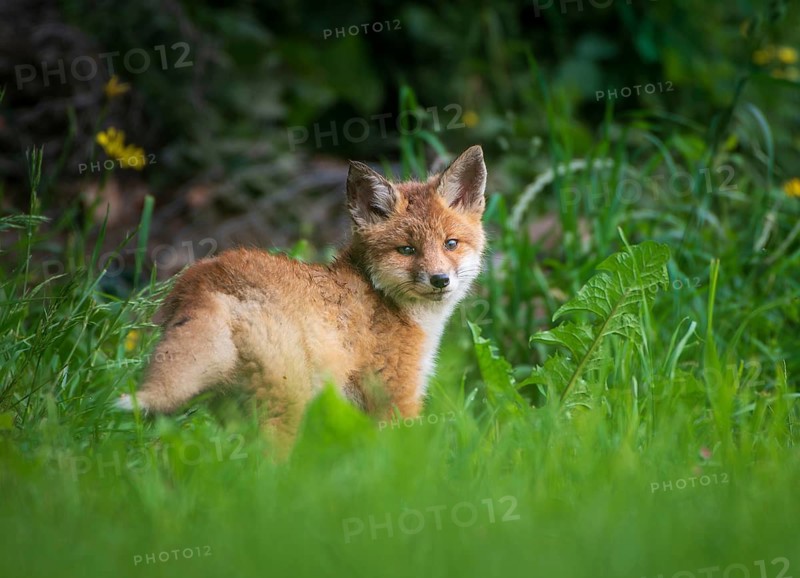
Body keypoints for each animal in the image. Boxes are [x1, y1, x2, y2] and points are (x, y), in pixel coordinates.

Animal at [116, 145, 487, 448]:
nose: (440, 280)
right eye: (407, 250)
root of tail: (205, 278)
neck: (383, 296)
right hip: (284, 405)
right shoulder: (397, 394)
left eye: (450, 244)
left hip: (229, 406)